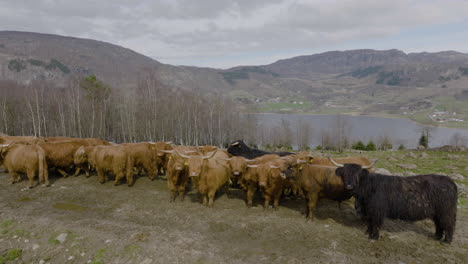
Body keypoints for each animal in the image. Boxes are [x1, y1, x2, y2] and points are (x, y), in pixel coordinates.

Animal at [330, 160, 458, 242]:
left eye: (357, 174)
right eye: (344, 174)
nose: (349, 185)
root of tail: (450, 181)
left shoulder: (377, 211)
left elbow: (375, 224)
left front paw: (373, 237)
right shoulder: (369, 210)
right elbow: (370, 223)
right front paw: (368, 233)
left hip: (446, 211)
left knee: (449, 224)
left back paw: (446, 241)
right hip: (437, 213)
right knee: (439, 225)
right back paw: (436, 237)